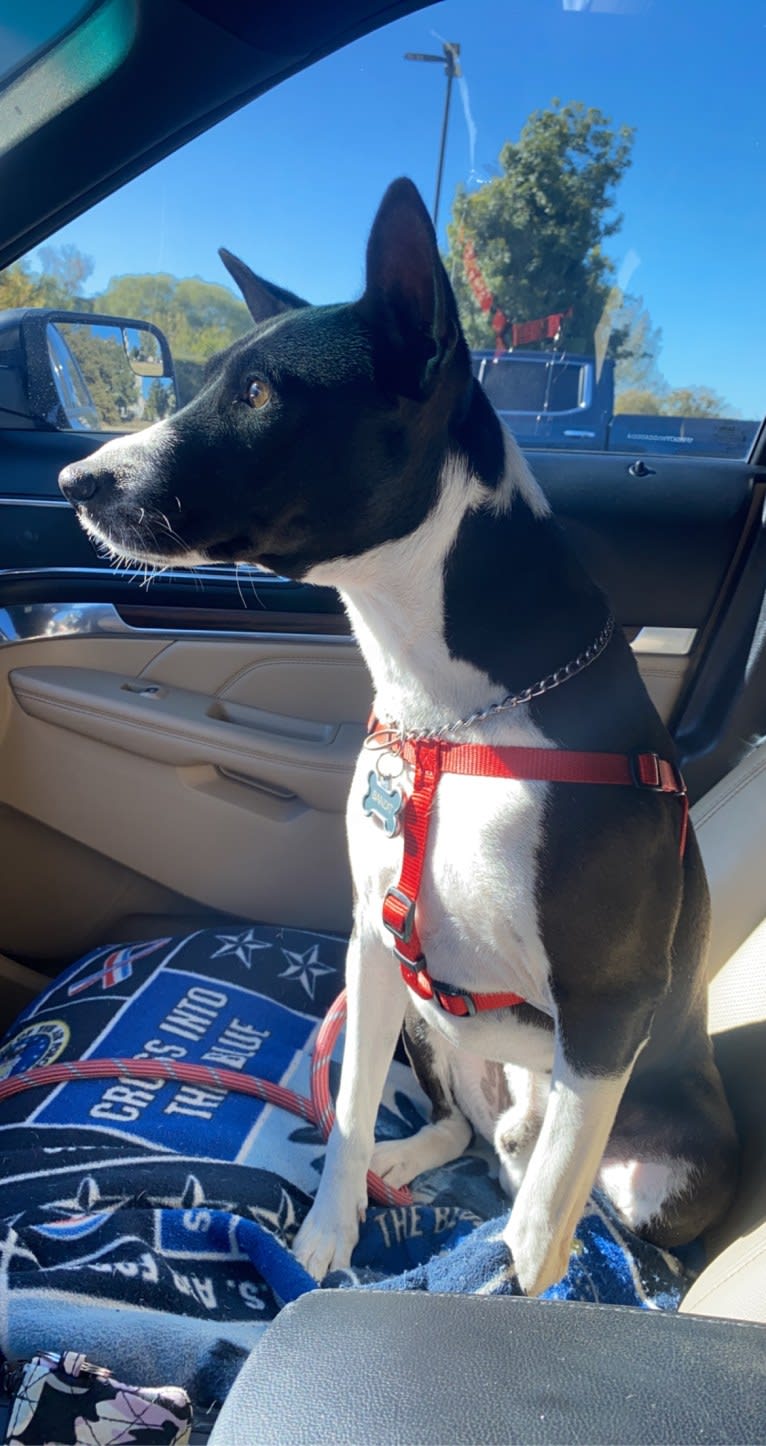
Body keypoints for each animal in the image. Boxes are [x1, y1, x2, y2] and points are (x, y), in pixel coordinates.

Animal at [58, 174, 734, 1295]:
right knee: (468, 1132)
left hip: (669, 1159)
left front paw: (516, 1289)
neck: (449, 713)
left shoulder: (606, 1007)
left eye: (258, 396)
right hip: (431, 1017)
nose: (76, 482)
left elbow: (543, 1226)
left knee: (575, 1190)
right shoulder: (375, 943)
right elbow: (344, 1117)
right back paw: (413, 1159)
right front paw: (330, 1231)